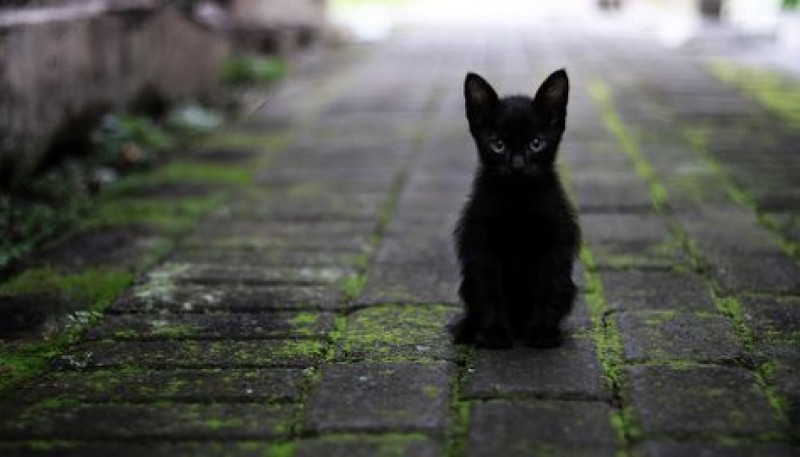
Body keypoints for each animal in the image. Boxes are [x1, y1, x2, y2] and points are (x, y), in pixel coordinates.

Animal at [454, 69, 580, 348]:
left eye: (536, 143)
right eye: (498, 144)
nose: (518, 165)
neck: (518, 201)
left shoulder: (553, 247)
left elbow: (545, 290)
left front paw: (542, 331)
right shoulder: (483, 248)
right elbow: (491, 293)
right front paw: (495, 333)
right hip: (468, 282)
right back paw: (468, 328)